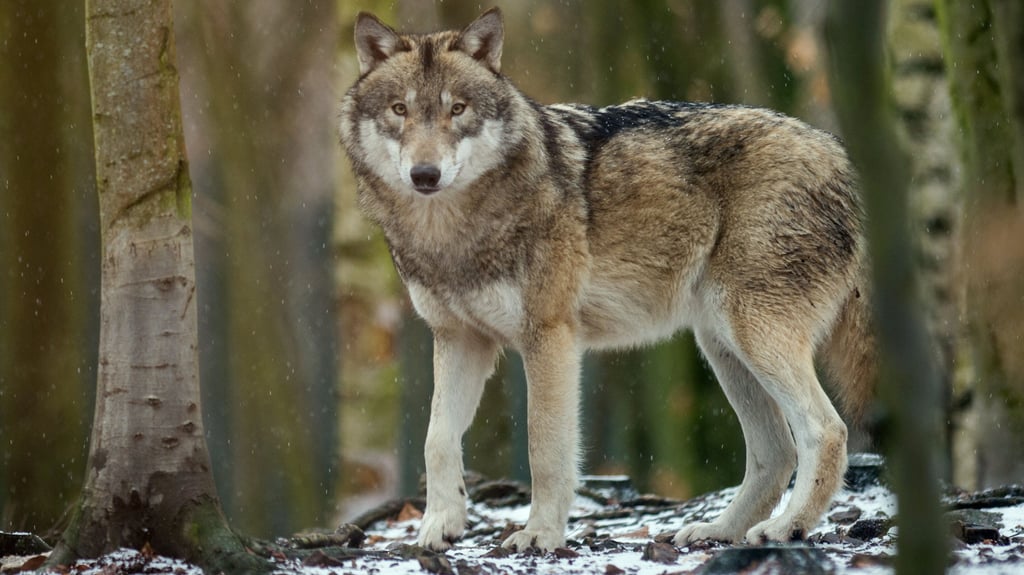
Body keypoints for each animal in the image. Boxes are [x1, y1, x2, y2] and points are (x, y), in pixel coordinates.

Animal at [339, 8, 875, 553]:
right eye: (400, 110)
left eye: (458, 109)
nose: (424, 174)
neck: (452, 234)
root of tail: (839, 155)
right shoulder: (458, 339)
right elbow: (437, 439)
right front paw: (437, 526)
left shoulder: (549, 337)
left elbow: (544, 446)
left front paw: (539, 534)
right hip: (721, 345)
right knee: (776, 452)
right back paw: (720, 531)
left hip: (750, 333)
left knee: (826, 431)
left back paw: (789, 527)